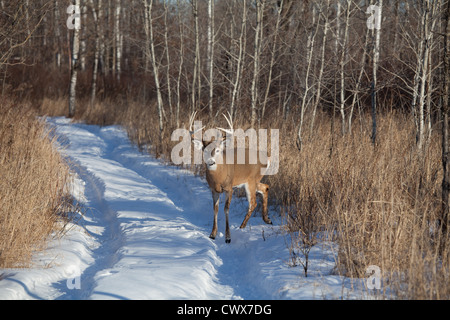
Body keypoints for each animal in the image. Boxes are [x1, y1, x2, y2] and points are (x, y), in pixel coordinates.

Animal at [189, 111, 272, 244]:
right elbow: (215, 209)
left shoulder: (229, 188)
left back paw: (242, 227)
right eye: (204, 151)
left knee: (253, 203)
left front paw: (228, 237)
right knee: (265, 187)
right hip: (253, 180)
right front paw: (212, 234)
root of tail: (267, 158)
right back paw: (267, 219)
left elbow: (226, 209)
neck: (218, 178)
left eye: (217, 150)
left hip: (251, 180)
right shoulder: (213, 190)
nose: (211, 162)